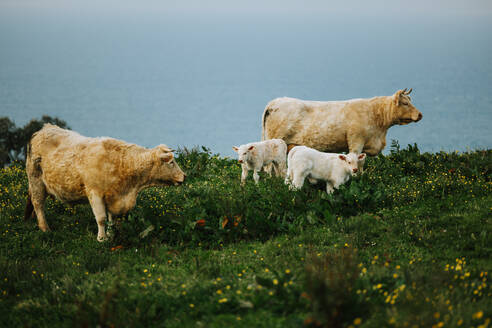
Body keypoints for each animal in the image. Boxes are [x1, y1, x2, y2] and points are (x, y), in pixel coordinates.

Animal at [23, 123, 184, 241]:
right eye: (171, 162)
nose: (184, 176)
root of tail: (45, 128)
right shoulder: (95, 193)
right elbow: (101, 218)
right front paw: (101, 239)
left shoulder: (112, 196)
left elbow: (111, 219)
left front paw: (111, 235)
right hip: (35, 180)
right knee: (38, 204)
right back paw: (45, 228)